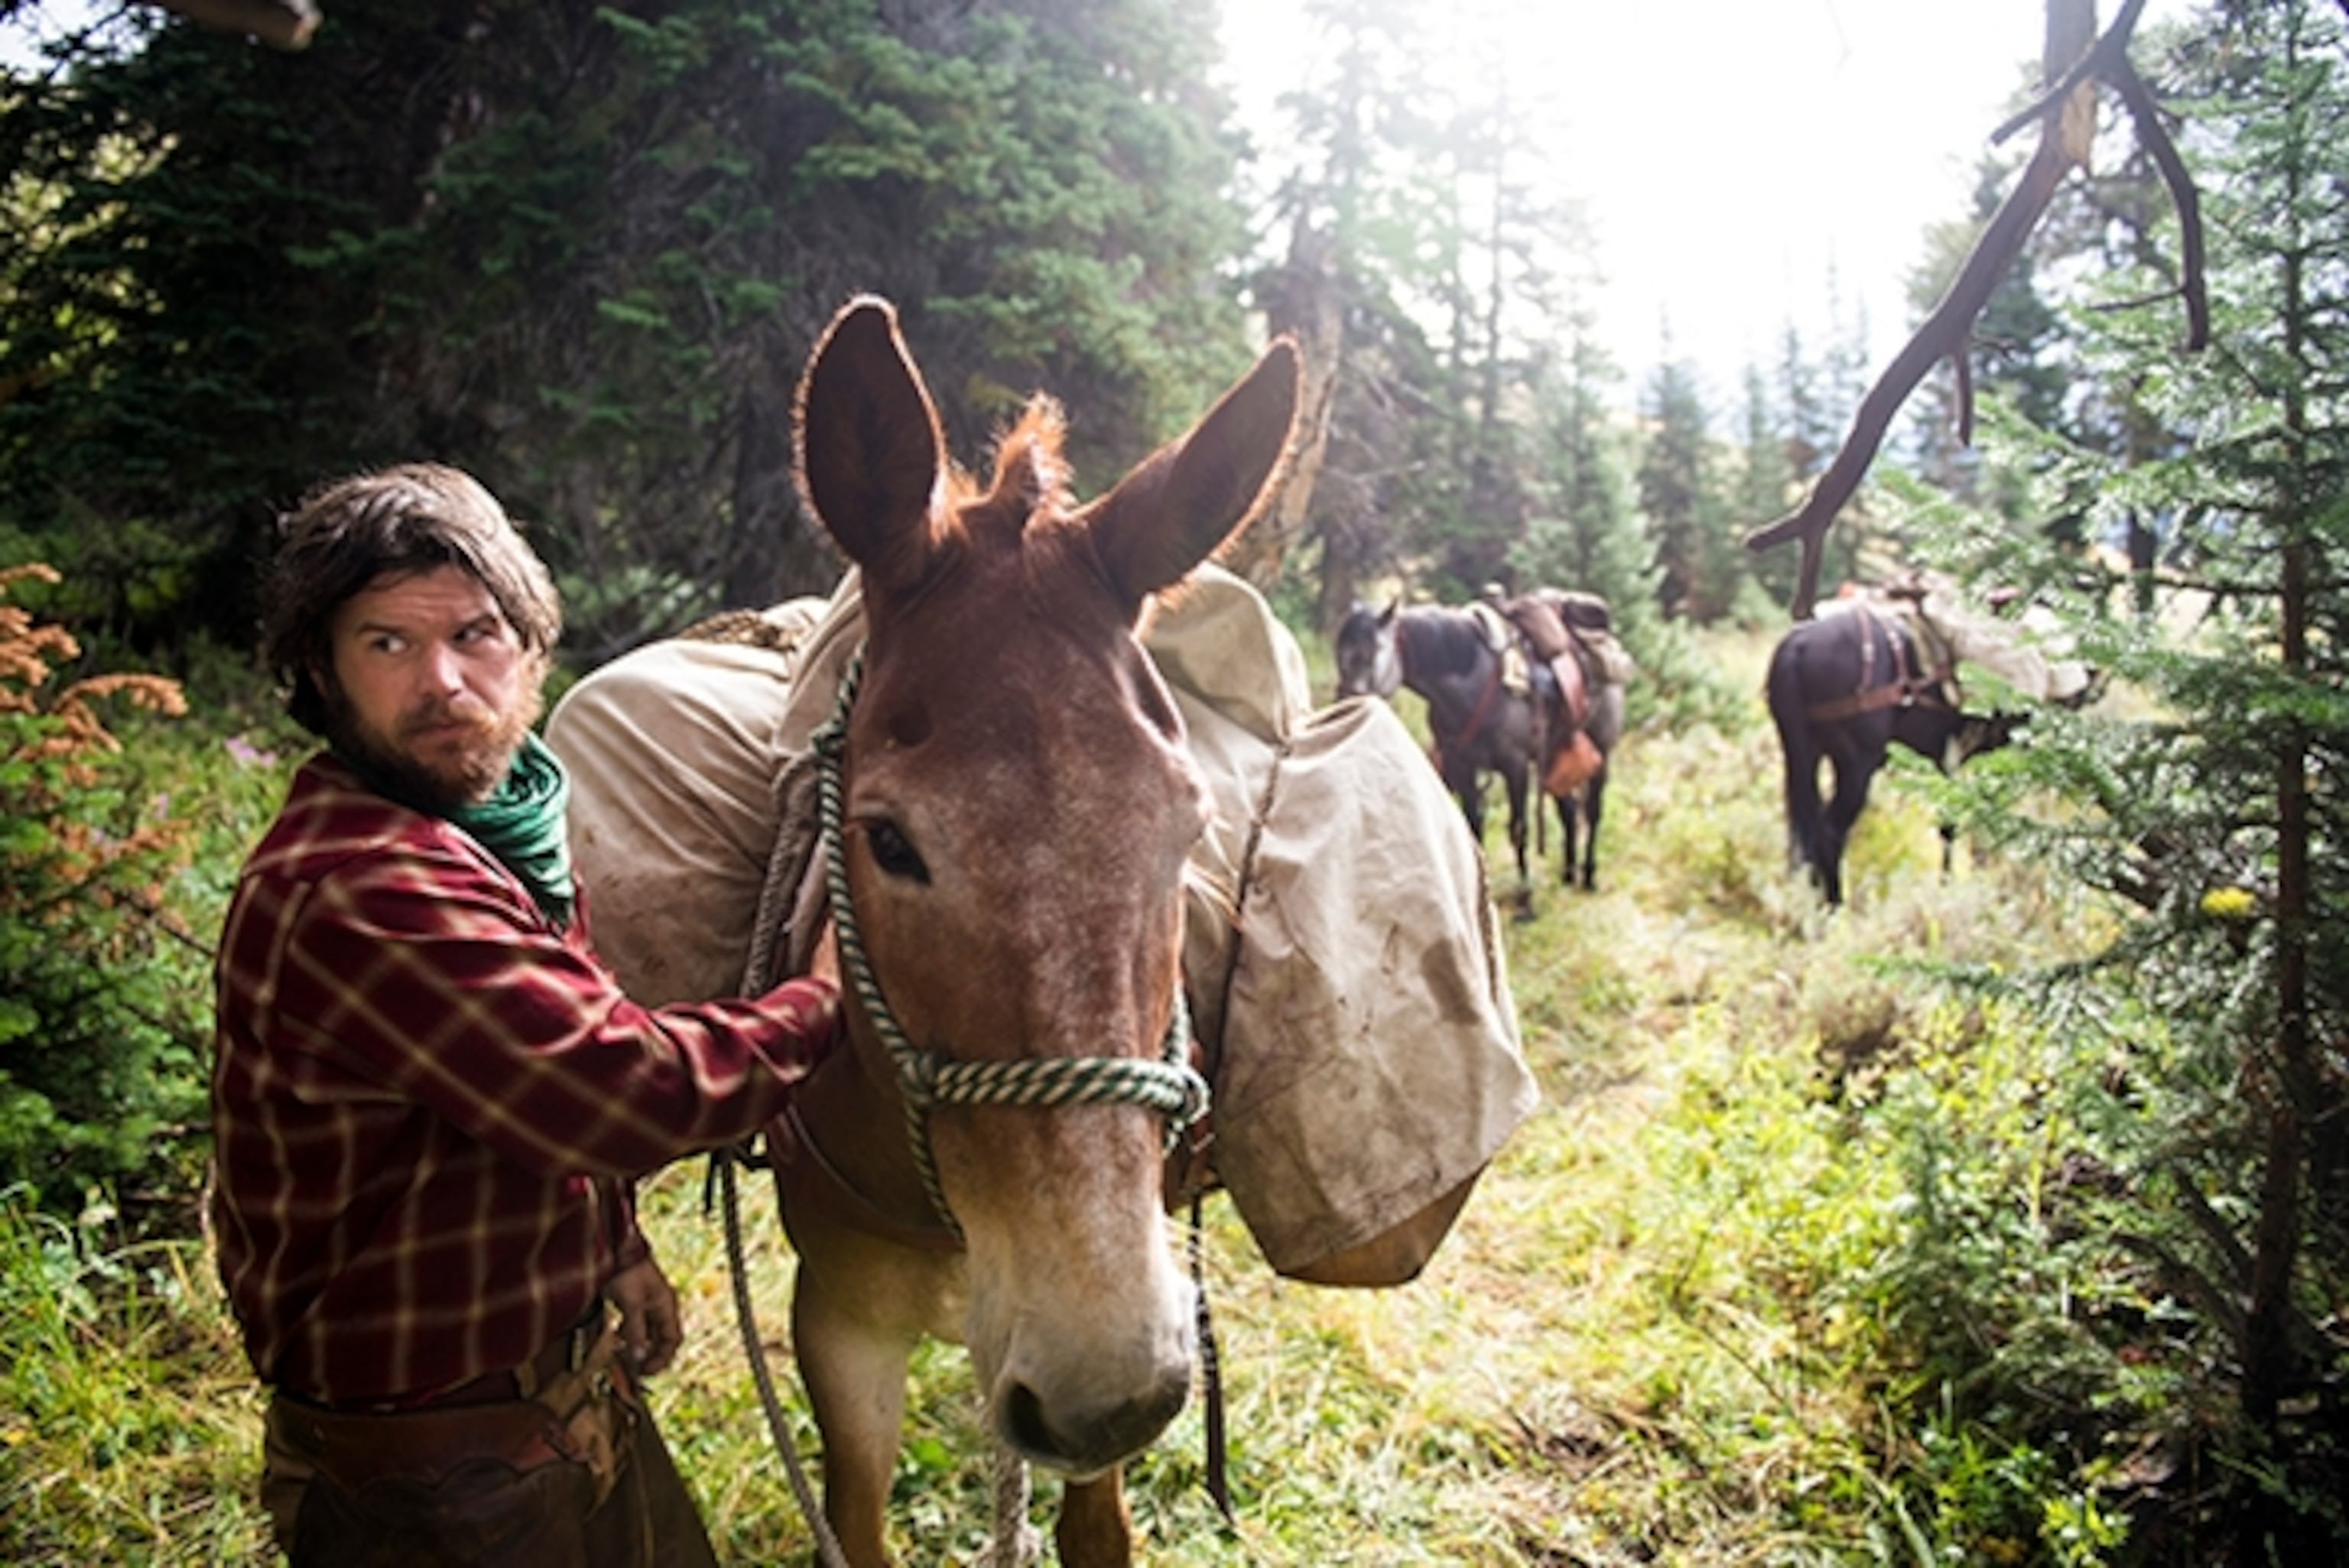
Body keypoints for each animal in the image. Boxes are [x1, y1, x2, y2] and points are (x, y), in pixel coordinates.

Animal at [765, 297, 1300, 1567]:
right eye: (887, 839)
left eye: (1188, 826)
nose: (1104, 1381)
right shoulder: (837, 1321)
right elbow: (857, 1522)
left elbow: (1097, 1528)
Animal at [1765, 603, 2022, 907]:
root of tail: (1796, 646)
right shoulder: (1958, 755)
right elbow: (1957, 823)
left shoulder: (1946, 759)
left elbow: (1951, 824)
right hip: (1857, 764)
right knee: (1829, 834)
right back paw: (1836, 906)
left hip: (1803, 754)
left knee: (1804, 834)